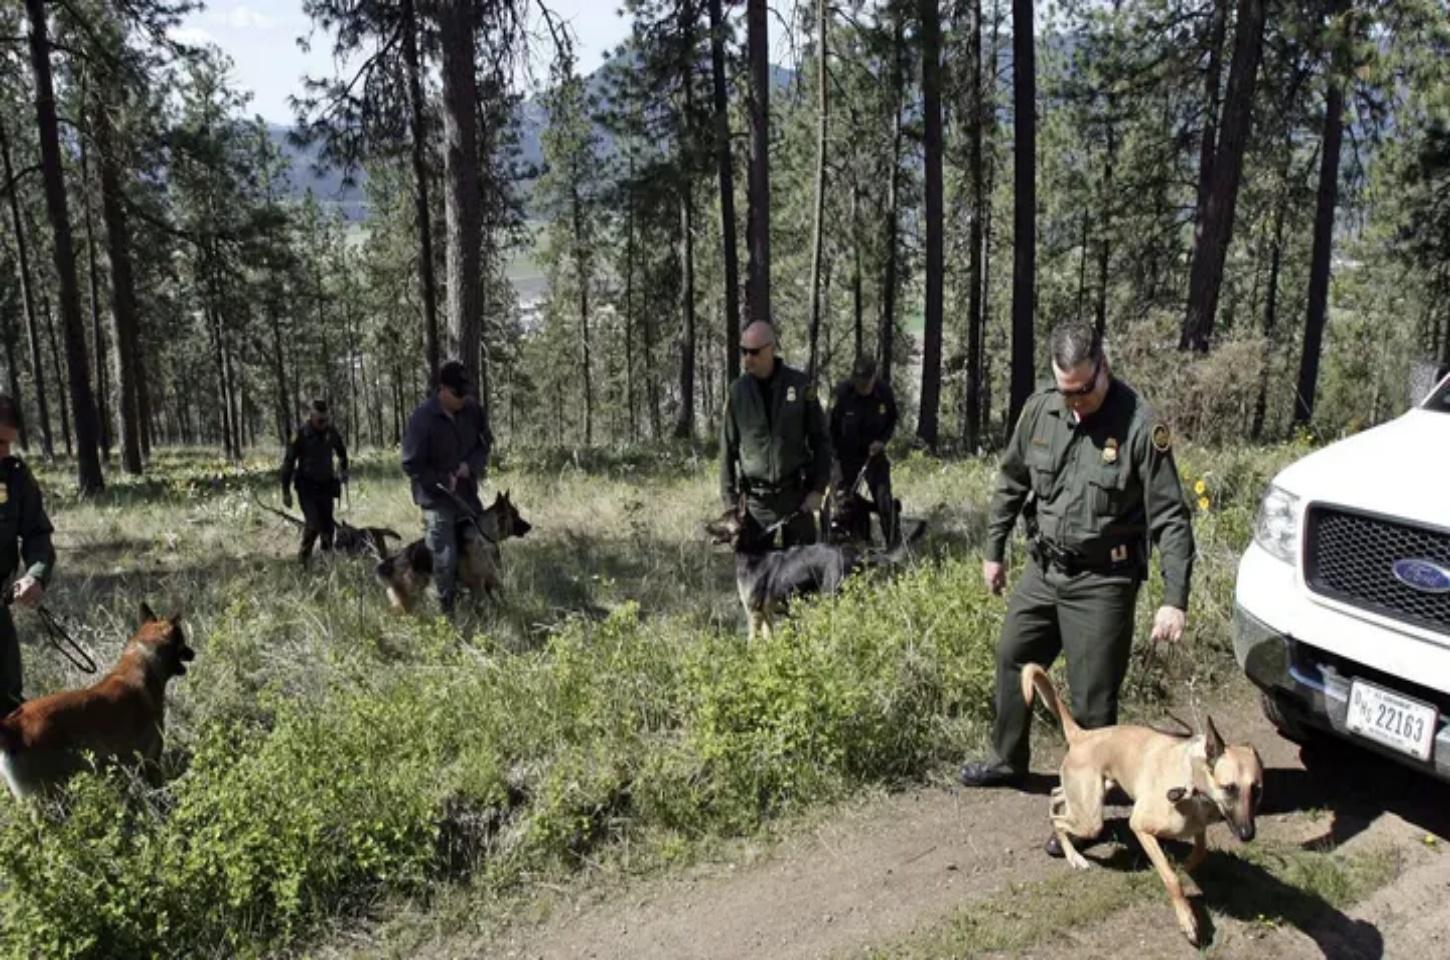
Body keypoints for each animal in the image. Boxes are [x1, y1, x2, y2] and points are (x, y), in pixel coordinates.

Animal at [0, 606, 194, 800]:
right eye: (182, 640)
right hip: (54, 794)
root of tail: (12, 725)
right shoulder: (151, 762)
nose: (193, 653)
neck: (143, 660)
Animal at [374, 490, 533, 617]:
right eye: (515, 515)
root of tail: (389, 562)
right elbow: (483, 603)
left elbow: (499, 595)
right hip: (409, 596)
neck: (483, 532)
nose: (530, 526)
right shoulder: (477, 583)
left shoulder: (490, 577)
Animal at [707, 507, 922, 643]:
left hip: (831, 598)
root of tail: (853, 553)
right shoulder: (766, 615)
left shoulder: (754, 613)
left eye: (723, 519)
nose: (705, 526)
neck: (751, 551)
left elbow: (751, 644)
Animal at [1026, 667, 1264, 945]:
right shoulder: (1141, 826)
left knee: (1056, 796)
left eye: (1257, 790)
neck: (1190, 780)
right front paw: (1188, 920)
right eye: (1229, 788)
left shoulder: (1198, 827)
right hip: (1090, 820)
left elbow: (1199, 852)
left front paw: (1185, 867)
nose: (1248, 834)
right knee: (1059, 821)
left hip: (1096, 791)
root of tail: (1082, 735)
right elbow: (1171, 879)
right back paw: (1074, 857)